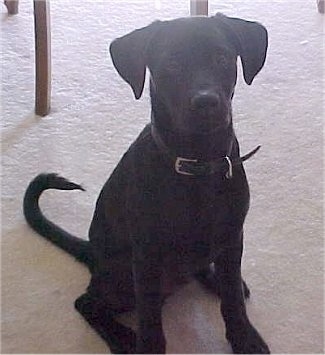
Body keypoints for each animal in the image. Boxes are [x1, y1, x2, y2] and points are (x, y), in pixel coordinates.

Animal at [23, 12, 268, 354]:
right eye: (172, 65)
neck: (197, 163)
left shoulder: (232, 237)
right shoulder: (148, 257)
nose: (206, 103)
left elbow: (232, 299)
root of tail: (93, 255)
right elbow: (150, 321)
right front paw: (145, 344)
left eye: (222, 58)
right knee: (86, 302)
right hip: (123, 277)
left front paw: (245, 338)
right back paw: (122, 337)